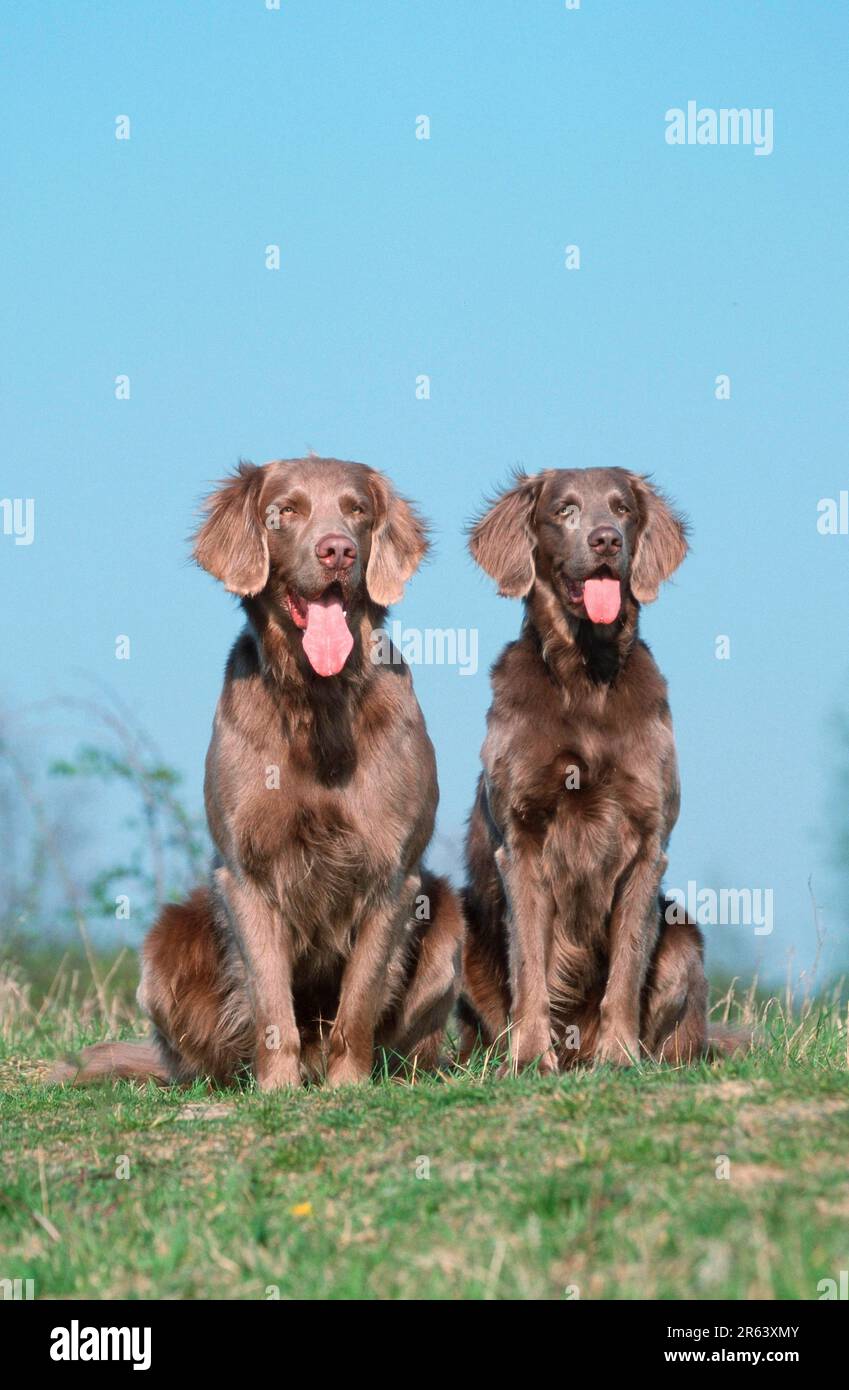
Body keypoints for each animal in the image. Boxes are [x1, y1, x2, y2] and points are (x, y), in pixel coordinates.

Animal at [51, 455, 464, 1084]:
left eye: (357, 510)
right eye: (285, 512)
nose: (338, 551)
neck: (317, 701)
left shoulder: (393, 874)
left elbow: (360, 1000)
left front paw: (347, 1086)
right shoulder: (246, 871)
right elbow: (270, 1000)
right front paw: (276, 1088)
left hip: (447, 923)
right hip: (168, 940)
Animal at [458, 472, 711, 1067]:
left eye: (622, 509)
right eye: (564, 510)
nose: (606, 541)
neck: (585, 677)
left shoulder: (647, 840)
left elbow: (627, 964)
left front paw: (618, 1057)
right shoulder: (522, 838)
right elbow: (530, 961)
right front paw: (530, 1058)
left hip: (684, 938)